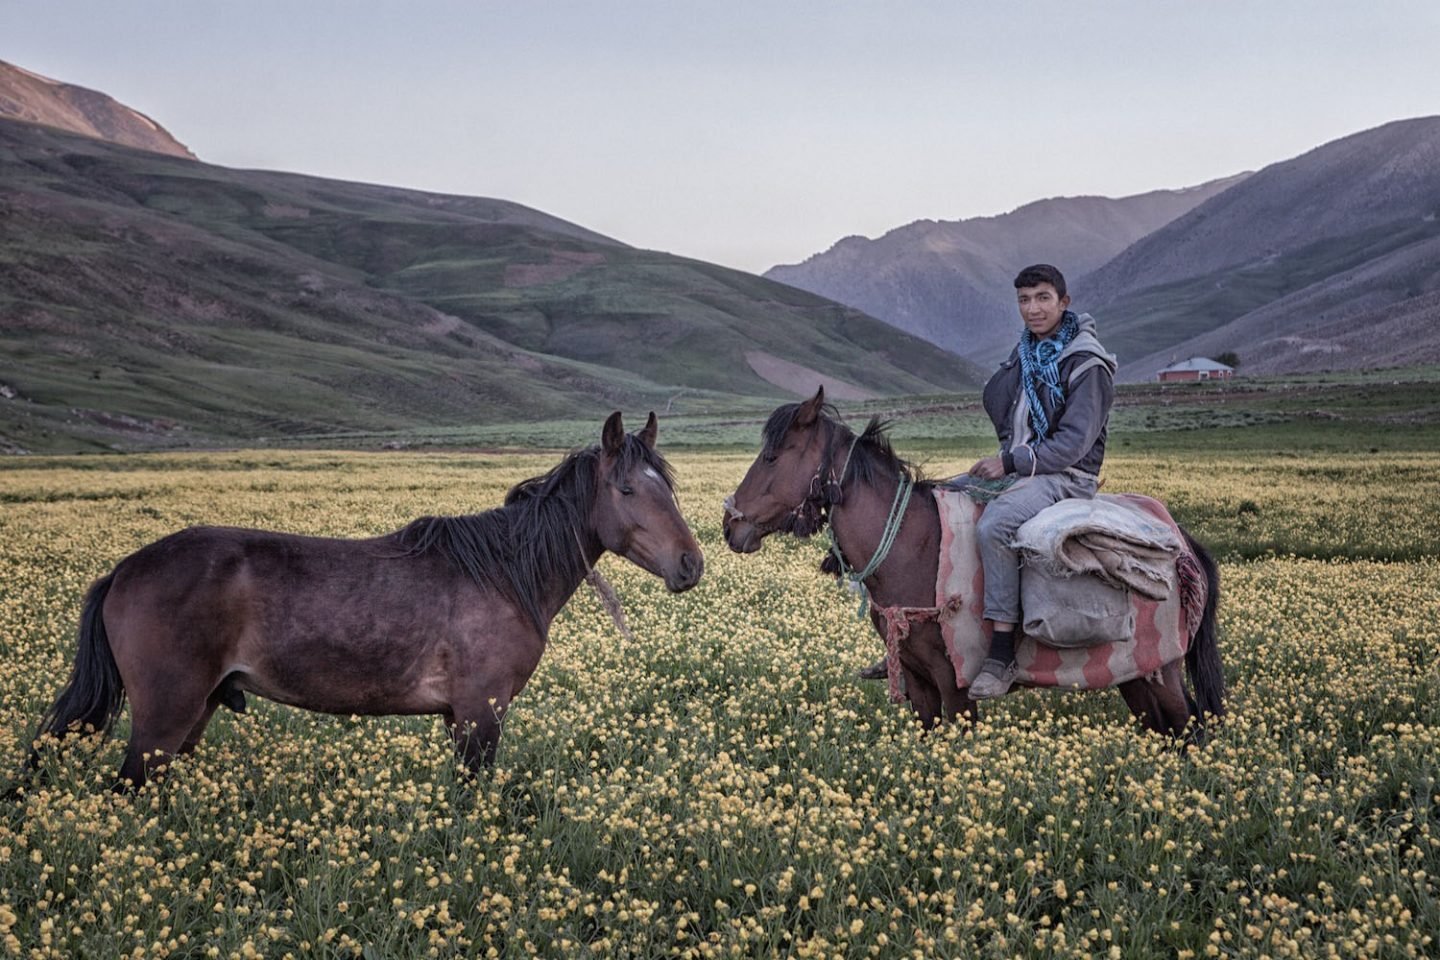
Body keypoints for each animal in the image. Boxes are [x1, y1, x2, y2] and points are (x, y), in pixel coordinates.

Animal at [30, 414, 705, 788]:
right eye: (626, 489)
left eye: (666, 487)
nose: (690, 564)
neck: (503, 573)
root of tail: (123, 570)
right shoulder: (479, 715)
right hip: (164, 718)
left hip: (193, 714)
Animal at [725, 391, 1221, 742]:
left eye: (771, 457)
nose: (730, 524)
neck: (911, 547)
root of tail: (1181, 542)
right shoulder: (917, 681)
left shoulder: (955, 683)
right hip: (1132, 673)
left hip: (1163, 669)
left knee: (1189, 729)